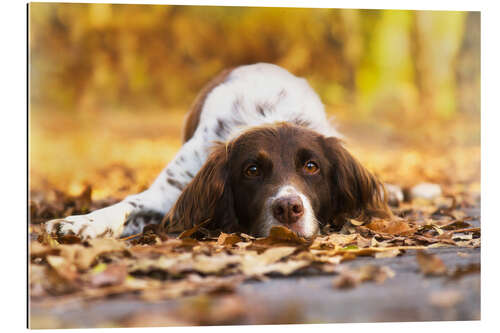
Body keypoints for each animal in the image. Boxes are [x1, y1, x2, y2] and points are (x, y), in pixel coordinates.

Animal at [46, 62, 390, 239]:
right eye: (252, 170)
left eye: (311, 166)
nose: (288, 209)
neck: (268, 113)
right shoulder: (171, 190)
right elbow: (126, 205)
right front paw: (77, 223)